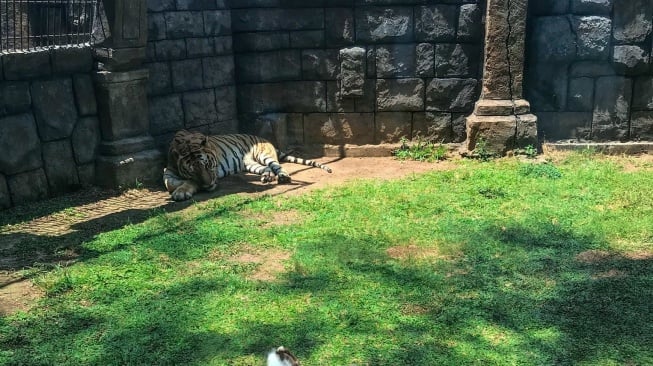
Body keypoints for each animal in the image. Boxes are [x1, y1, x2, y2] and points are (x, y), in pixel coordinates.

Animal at [161, 130, 334, 202]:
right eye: (193, 171)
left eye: (208, 165)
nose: (208, 184)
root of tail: (264, 138)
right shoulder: (167, 173)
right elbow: (173, 183)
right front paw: (181, 190)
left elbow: (187, 183)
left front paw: (181, 192)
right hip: (249, 164)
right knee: (266, 169)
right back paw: (266, 178)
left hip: (264, 155)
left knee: (277, 166)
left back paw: (283, 177)